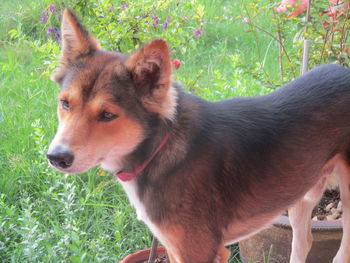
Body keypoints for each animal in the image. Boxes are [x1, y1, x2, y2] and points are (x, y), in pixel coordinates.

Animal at [47, 8, 350, 263]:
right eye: (65, 103)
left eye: (108, 115)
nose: (56, 157)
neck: (159, 150)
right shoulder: (174, 247)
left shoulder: (202, 251)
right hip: (301, 191)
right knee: (304, 242)